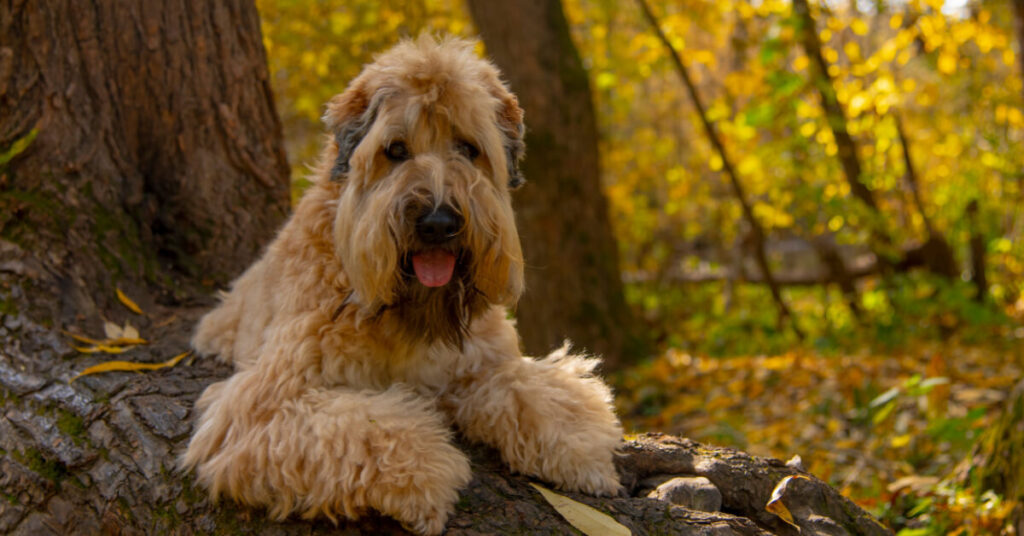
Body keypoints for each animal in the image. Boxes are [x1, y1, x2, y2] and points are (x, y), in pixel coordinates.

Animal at [180, 35, 618, 532]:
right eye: (395, 150)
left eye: (468, 147)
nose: (438, 223)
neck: (399, 312)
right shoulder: (263, 405)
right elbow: (366, 429)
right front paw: (428, 479)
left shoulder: (485, 360)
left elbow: (536, 392)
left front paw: (584, 456)